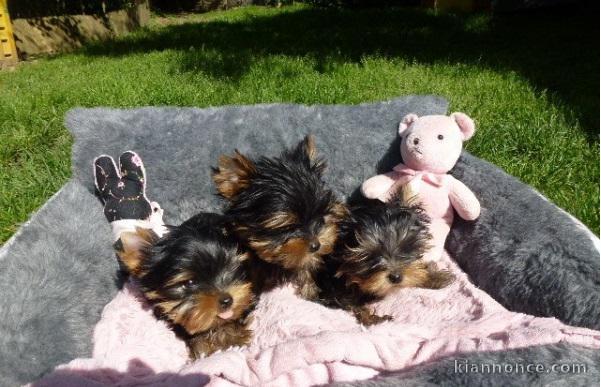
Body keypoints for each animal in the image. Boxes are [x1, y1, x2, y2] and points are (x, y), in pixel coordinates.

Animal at [316, 196, 452, 326]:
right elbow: (352, 304)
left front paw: (435, 277)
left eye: (406, 247)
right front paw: (373, 319)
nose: (396, 277)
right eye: (369, 256)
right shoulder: (336, 290)